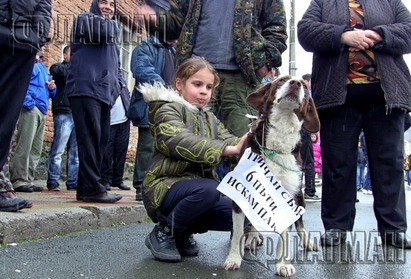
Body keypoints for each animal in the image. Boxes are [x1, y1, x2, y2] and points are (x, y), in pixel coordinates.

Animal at [224, 76, 320, 278]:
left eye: (304, 86)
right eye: (282, 80)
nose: (296, 83)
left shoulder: (288, 195)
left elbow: (286, 235)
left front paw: (283, 263)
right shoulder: (240, 192)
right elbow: (237, 232)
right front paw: (234, 258)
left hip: (299, 196)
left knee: (300, 224)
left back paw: (306, 241)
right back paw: (252, 238)